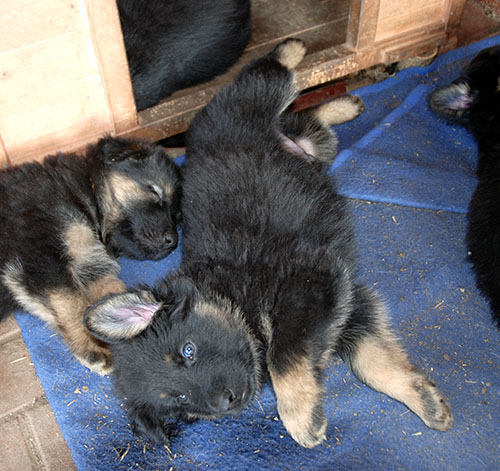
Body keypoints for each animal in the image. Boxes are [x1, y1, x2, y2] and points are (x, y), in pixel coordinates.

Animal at [0, 136, 181, 375]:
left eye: (176, 216)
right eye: (156, 193)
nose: (173, 241)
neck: (87, 194)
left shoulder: (91, 263)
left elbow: (108, 290)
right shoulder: (38, 254)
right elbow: (71, 301)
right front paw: (93, 348)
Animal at [85, 40, 453, 448]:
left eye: (188, 350)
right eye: (180, 400)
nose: (225, 401)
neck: (231, 294)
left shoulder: (307, 282)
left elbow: (283, 356)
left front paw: (300, 417)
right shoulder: (348, 303)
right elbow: (372, 364)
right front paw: (425, 400)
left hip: (248, 100)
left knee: (268, 77)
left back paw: (294, 49)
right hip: (315, 148)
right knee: (306, 121)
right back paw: (346, 104)